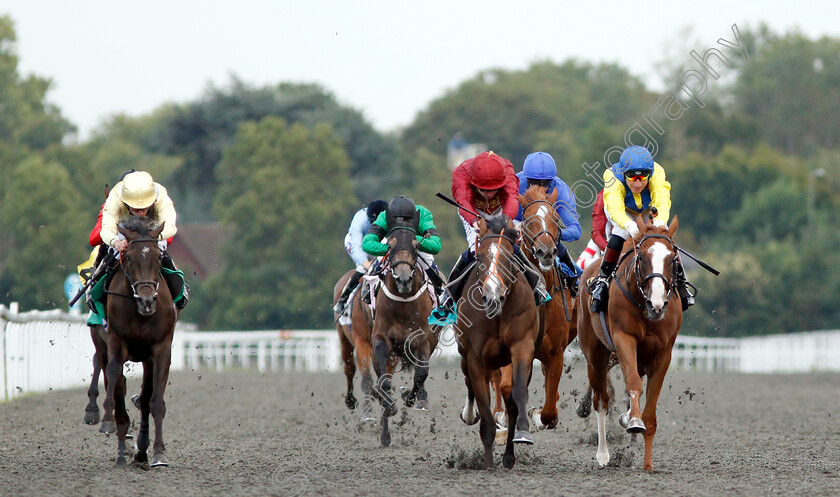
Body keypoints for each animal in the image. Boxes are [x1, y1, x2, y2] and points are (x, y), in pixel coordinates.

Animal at [99, 217, 176, 464]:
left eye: (158, 257)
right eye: (129, 257)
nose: (147, 301)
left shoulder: (160, 349)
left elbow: (155, 400)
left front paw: (159, 452)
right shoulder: (116, 342)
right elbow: (115, 378)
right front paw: (107, 420)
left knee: (145, 397)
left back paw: (142, 447)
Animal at [332, 268, 378, 422]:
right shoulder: (362, 342)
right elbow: (367, 377)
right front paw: (368, 413)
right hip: (344, 339)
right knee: (349, 369)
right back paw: (350, 401)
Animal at [370, 224, 436, 446]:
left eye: (416, 245)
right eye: (389, 246)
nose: (404, 279)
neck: (404, 304)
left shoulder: (423, 340)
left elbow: (421, 374)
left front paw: (409, 397)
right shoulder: (381, 339)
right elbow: (384, 383)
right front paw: (389, 404)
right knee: (382, 381)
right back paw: (385, 433)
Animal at [456, 210, 540, 468]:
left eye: (509, 256)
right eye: (480, 257)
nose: (493, 296)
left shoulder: (522, 347)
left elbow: (518, 392)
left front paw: (522, 433)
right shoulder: (475, 358)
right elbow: (484, 408)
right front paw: (488, 463)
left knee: (510, 400)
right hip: (464, 356)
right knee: (470, 385)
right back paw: (469, 414)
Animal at [576, 215, 684, 470]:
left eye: (672, 259)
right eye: (642, 257)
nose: (658, 304)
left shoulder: (663, 354)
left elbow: (650, 411)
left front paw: (647, 464)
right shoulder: (624, 339)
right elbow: (632, 384)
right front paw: (633, 420)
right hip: (595, 354)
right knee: (601, 401)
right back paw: (603, 454)